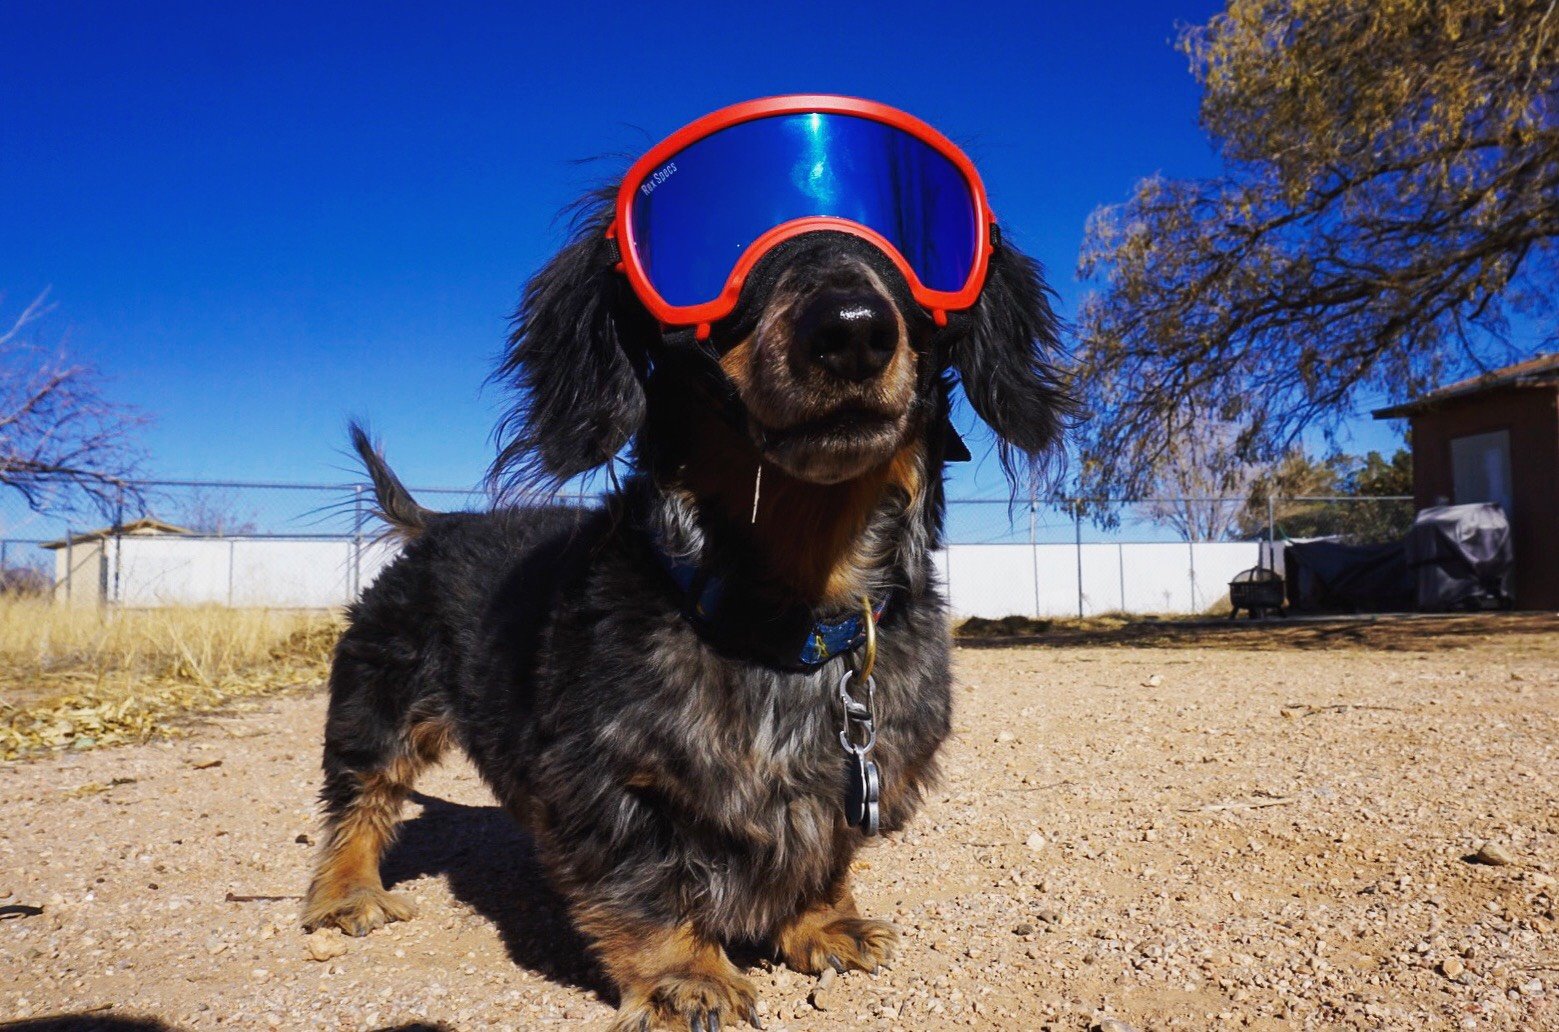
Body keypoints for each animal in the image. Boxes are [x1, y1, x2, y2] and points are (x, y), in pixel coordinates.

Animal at [304, 101, 1072, 1028]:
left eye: (914, 236)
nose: (850, 330)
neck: (792, 621)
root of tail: (439, 526)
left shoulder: (855, 778)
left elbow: (825, 856)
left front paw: (822, 924)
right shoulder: (609, 782)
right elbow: (646, 885)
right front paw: (687, 976)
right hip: (377, 704)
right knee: (360, 799)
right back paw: (346, 893)